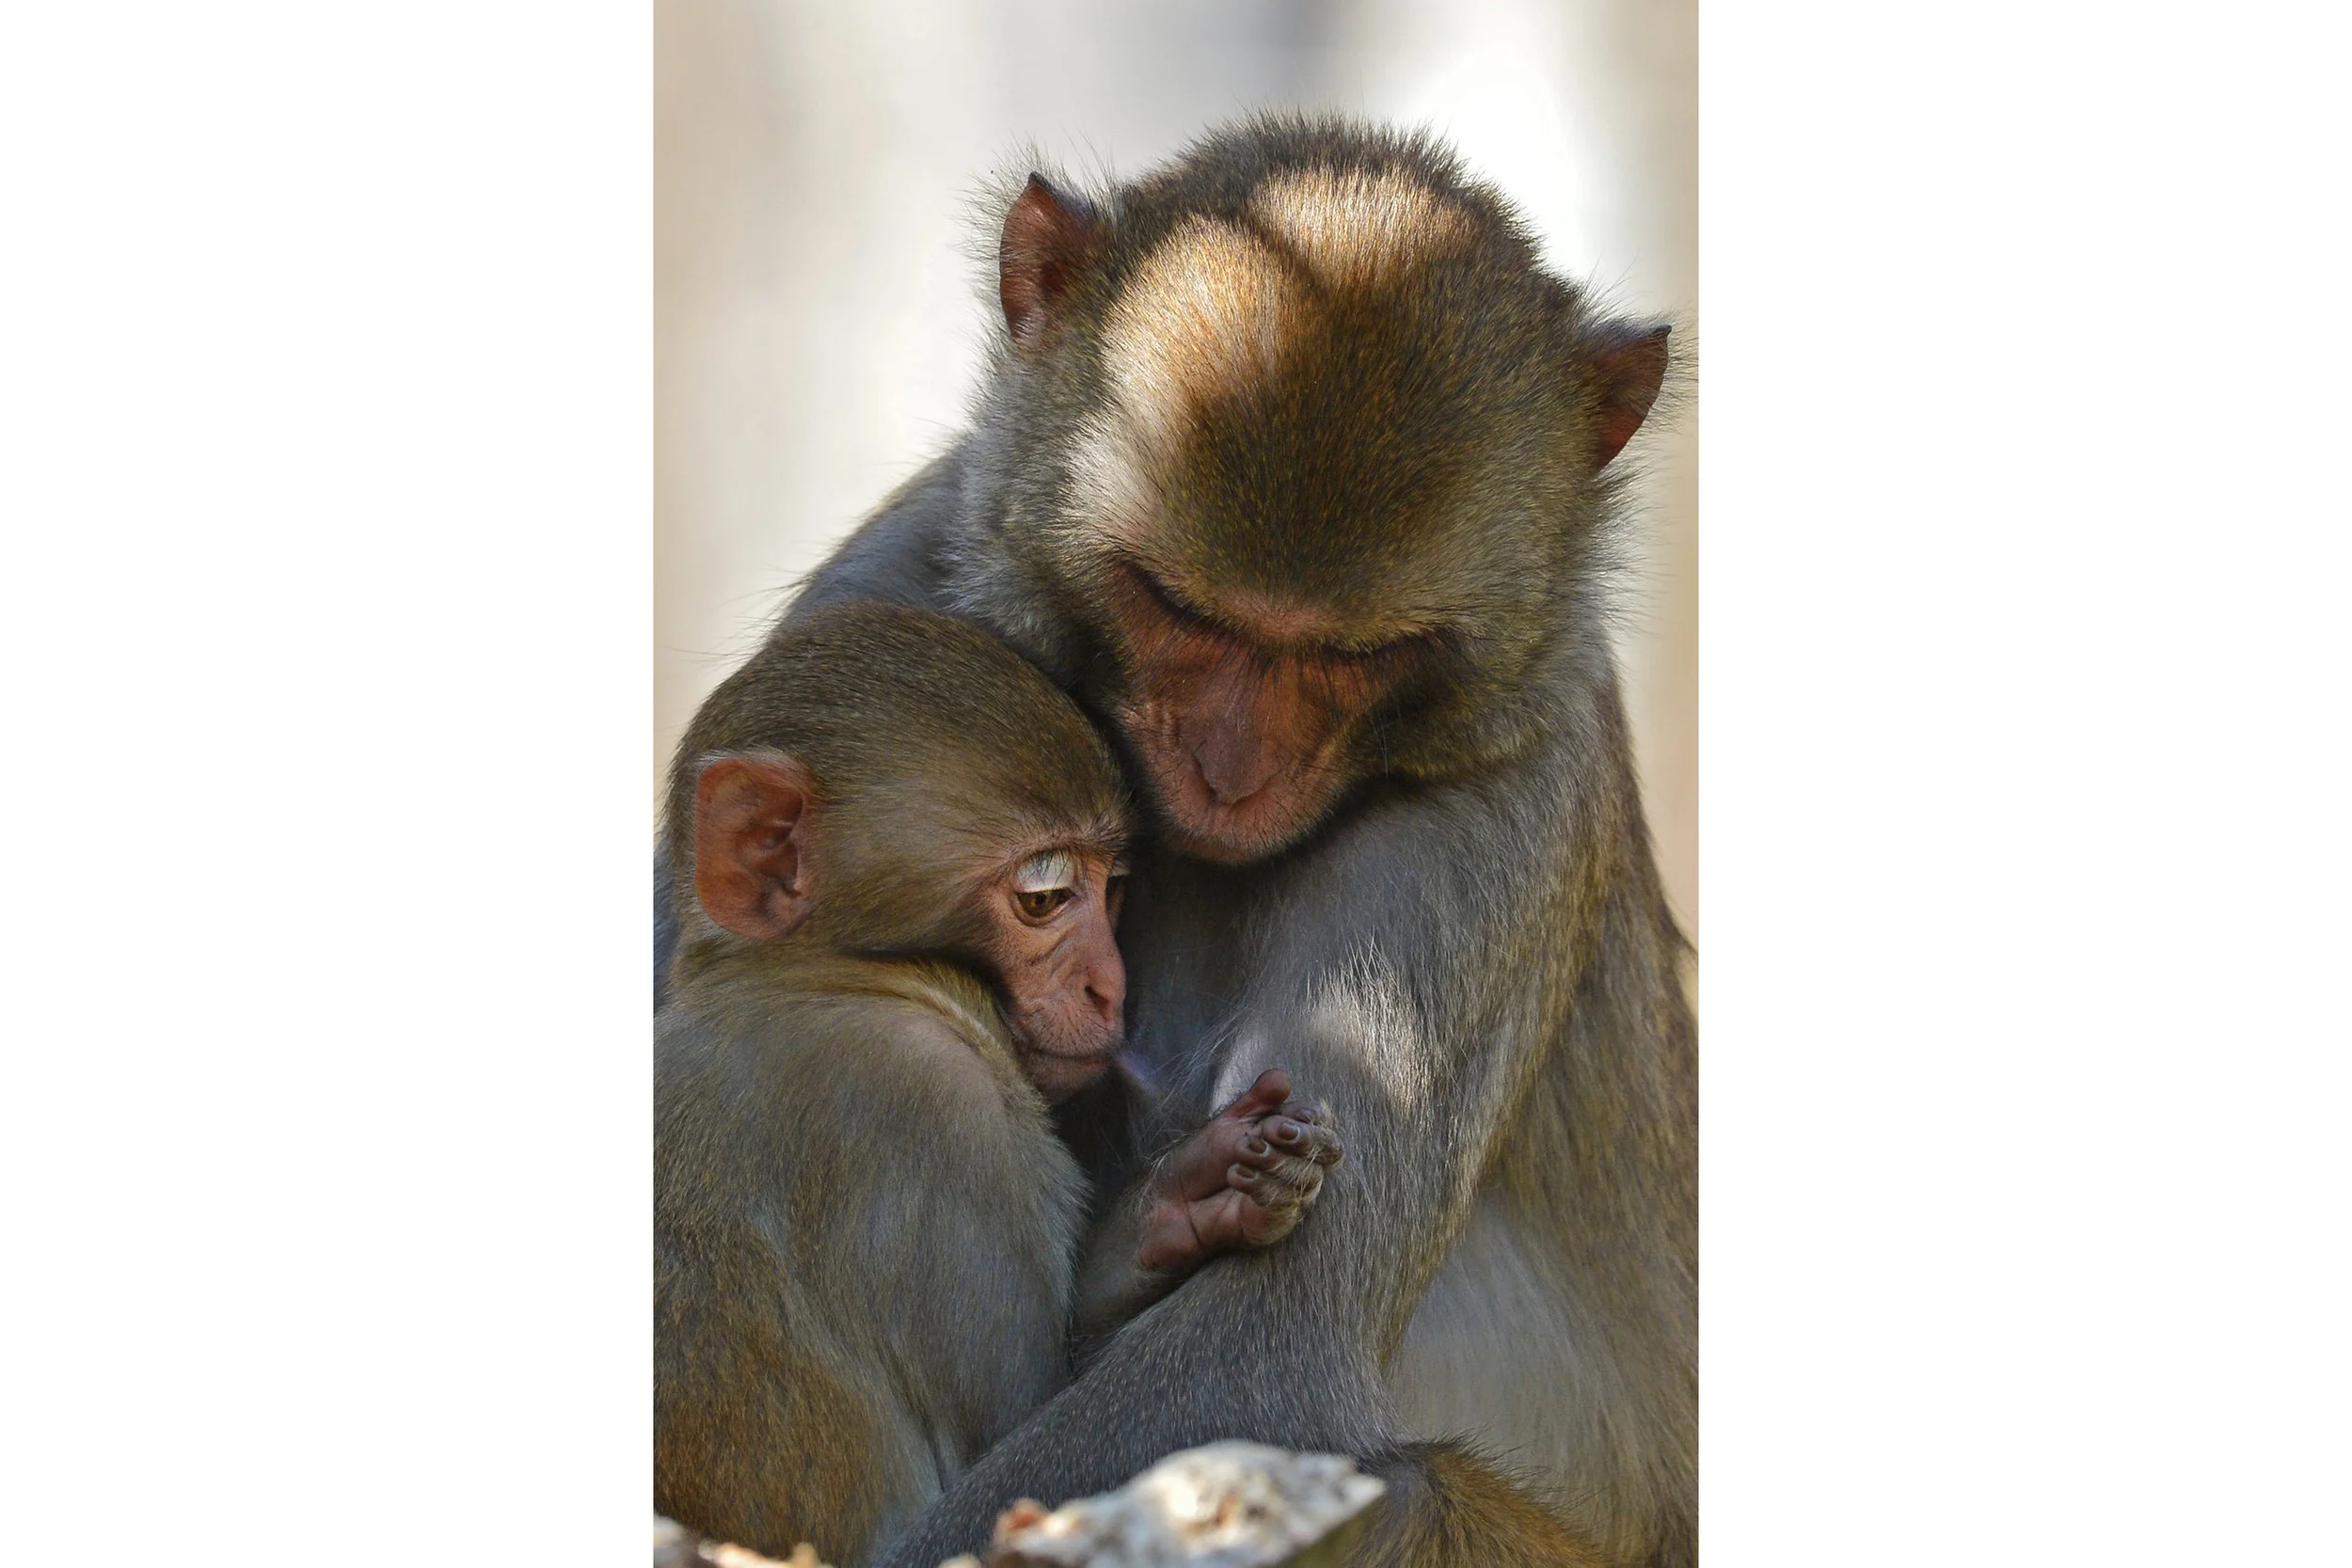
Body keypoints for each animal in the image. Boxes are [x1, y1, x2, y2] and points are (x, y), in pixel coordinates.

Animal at [654, 602, 1345, 1568]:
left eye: (1111, 886)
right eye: (1045, 898)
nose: (1109, 987)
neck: (807, 976)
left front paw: (1192, 1197)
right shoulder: (932, 1102)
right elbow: (1009, 1439)